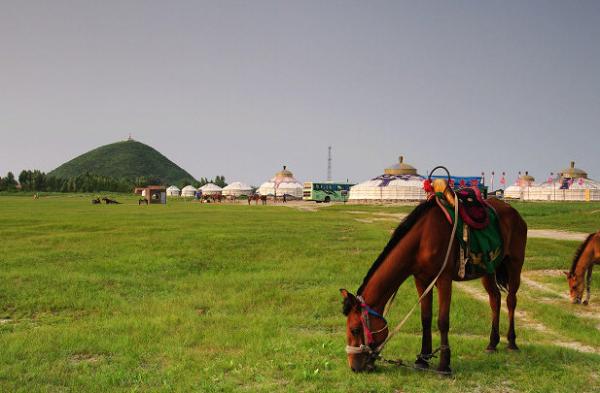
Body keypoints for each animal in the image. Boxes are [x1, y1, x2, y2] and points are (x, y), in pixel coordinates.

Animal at [340, 196, 528, 374]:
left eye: (355, 329)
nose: (354, 367)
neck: (422, 239)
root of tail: (513, 212)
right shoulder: (421, 280)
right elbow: (426, 318)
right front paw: (422, 359)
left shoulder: (444, 279)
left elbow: (442, 321)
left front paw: (444, 365)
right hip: (488, 269)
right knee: (495, 299)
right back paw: (492, 343)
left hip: (514, 264)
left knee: (511, 300)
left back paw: (512, 342)